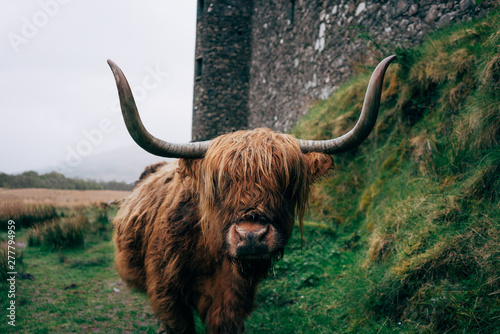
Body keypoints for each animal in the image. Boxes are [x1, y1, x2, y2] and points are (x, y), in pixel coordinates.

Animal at [108, 54, 394, 332]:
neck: (210, 253)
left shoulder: (232, 302)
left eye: (287, 182)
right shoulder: (167, 296)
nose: (252, 236)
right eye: (219, 183)